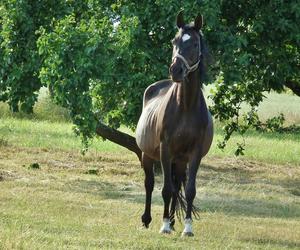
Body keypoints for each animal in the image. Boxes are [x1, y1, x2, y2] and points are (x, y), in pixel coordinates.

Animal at [135, 11, 214, 236]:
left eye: (195, 43)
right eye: (174, 41)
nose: (176, 70)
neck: (185, 106)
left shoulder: (194, 154)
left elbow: (189, 190)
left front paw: (187, 227)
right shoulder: (165, 149)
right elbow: (166, 189)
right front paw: (164, 226)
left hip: (179, 160)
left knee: (178, 184)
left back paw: (171, 219)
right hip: (148, 155)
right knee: (150, 184)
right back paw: (148, 219)